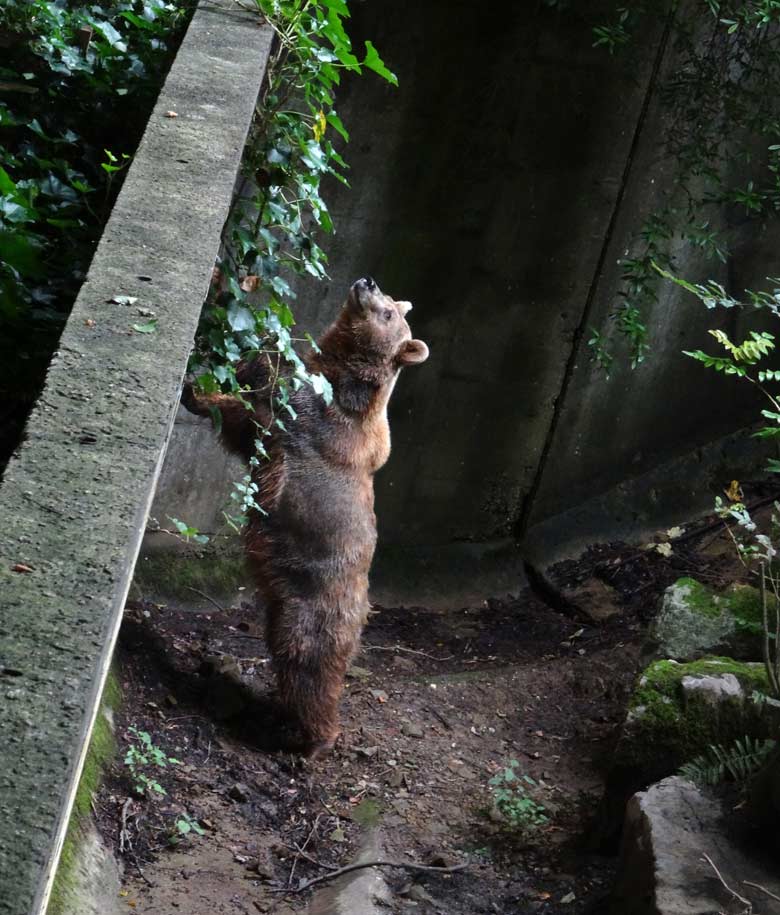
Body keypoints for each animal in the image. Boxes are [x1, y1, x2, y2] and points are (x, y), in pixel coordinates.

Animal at [182, 278, 426, 760]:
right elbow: (245, 427)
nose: (367, 282)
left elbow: (268, 397)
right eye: (392, 300)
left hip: (313, 608)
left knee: (308, 668)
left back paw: (312, 740)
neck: (344, 372)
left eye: (389, 313)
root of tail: (364, 611)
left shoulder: (316, 416)